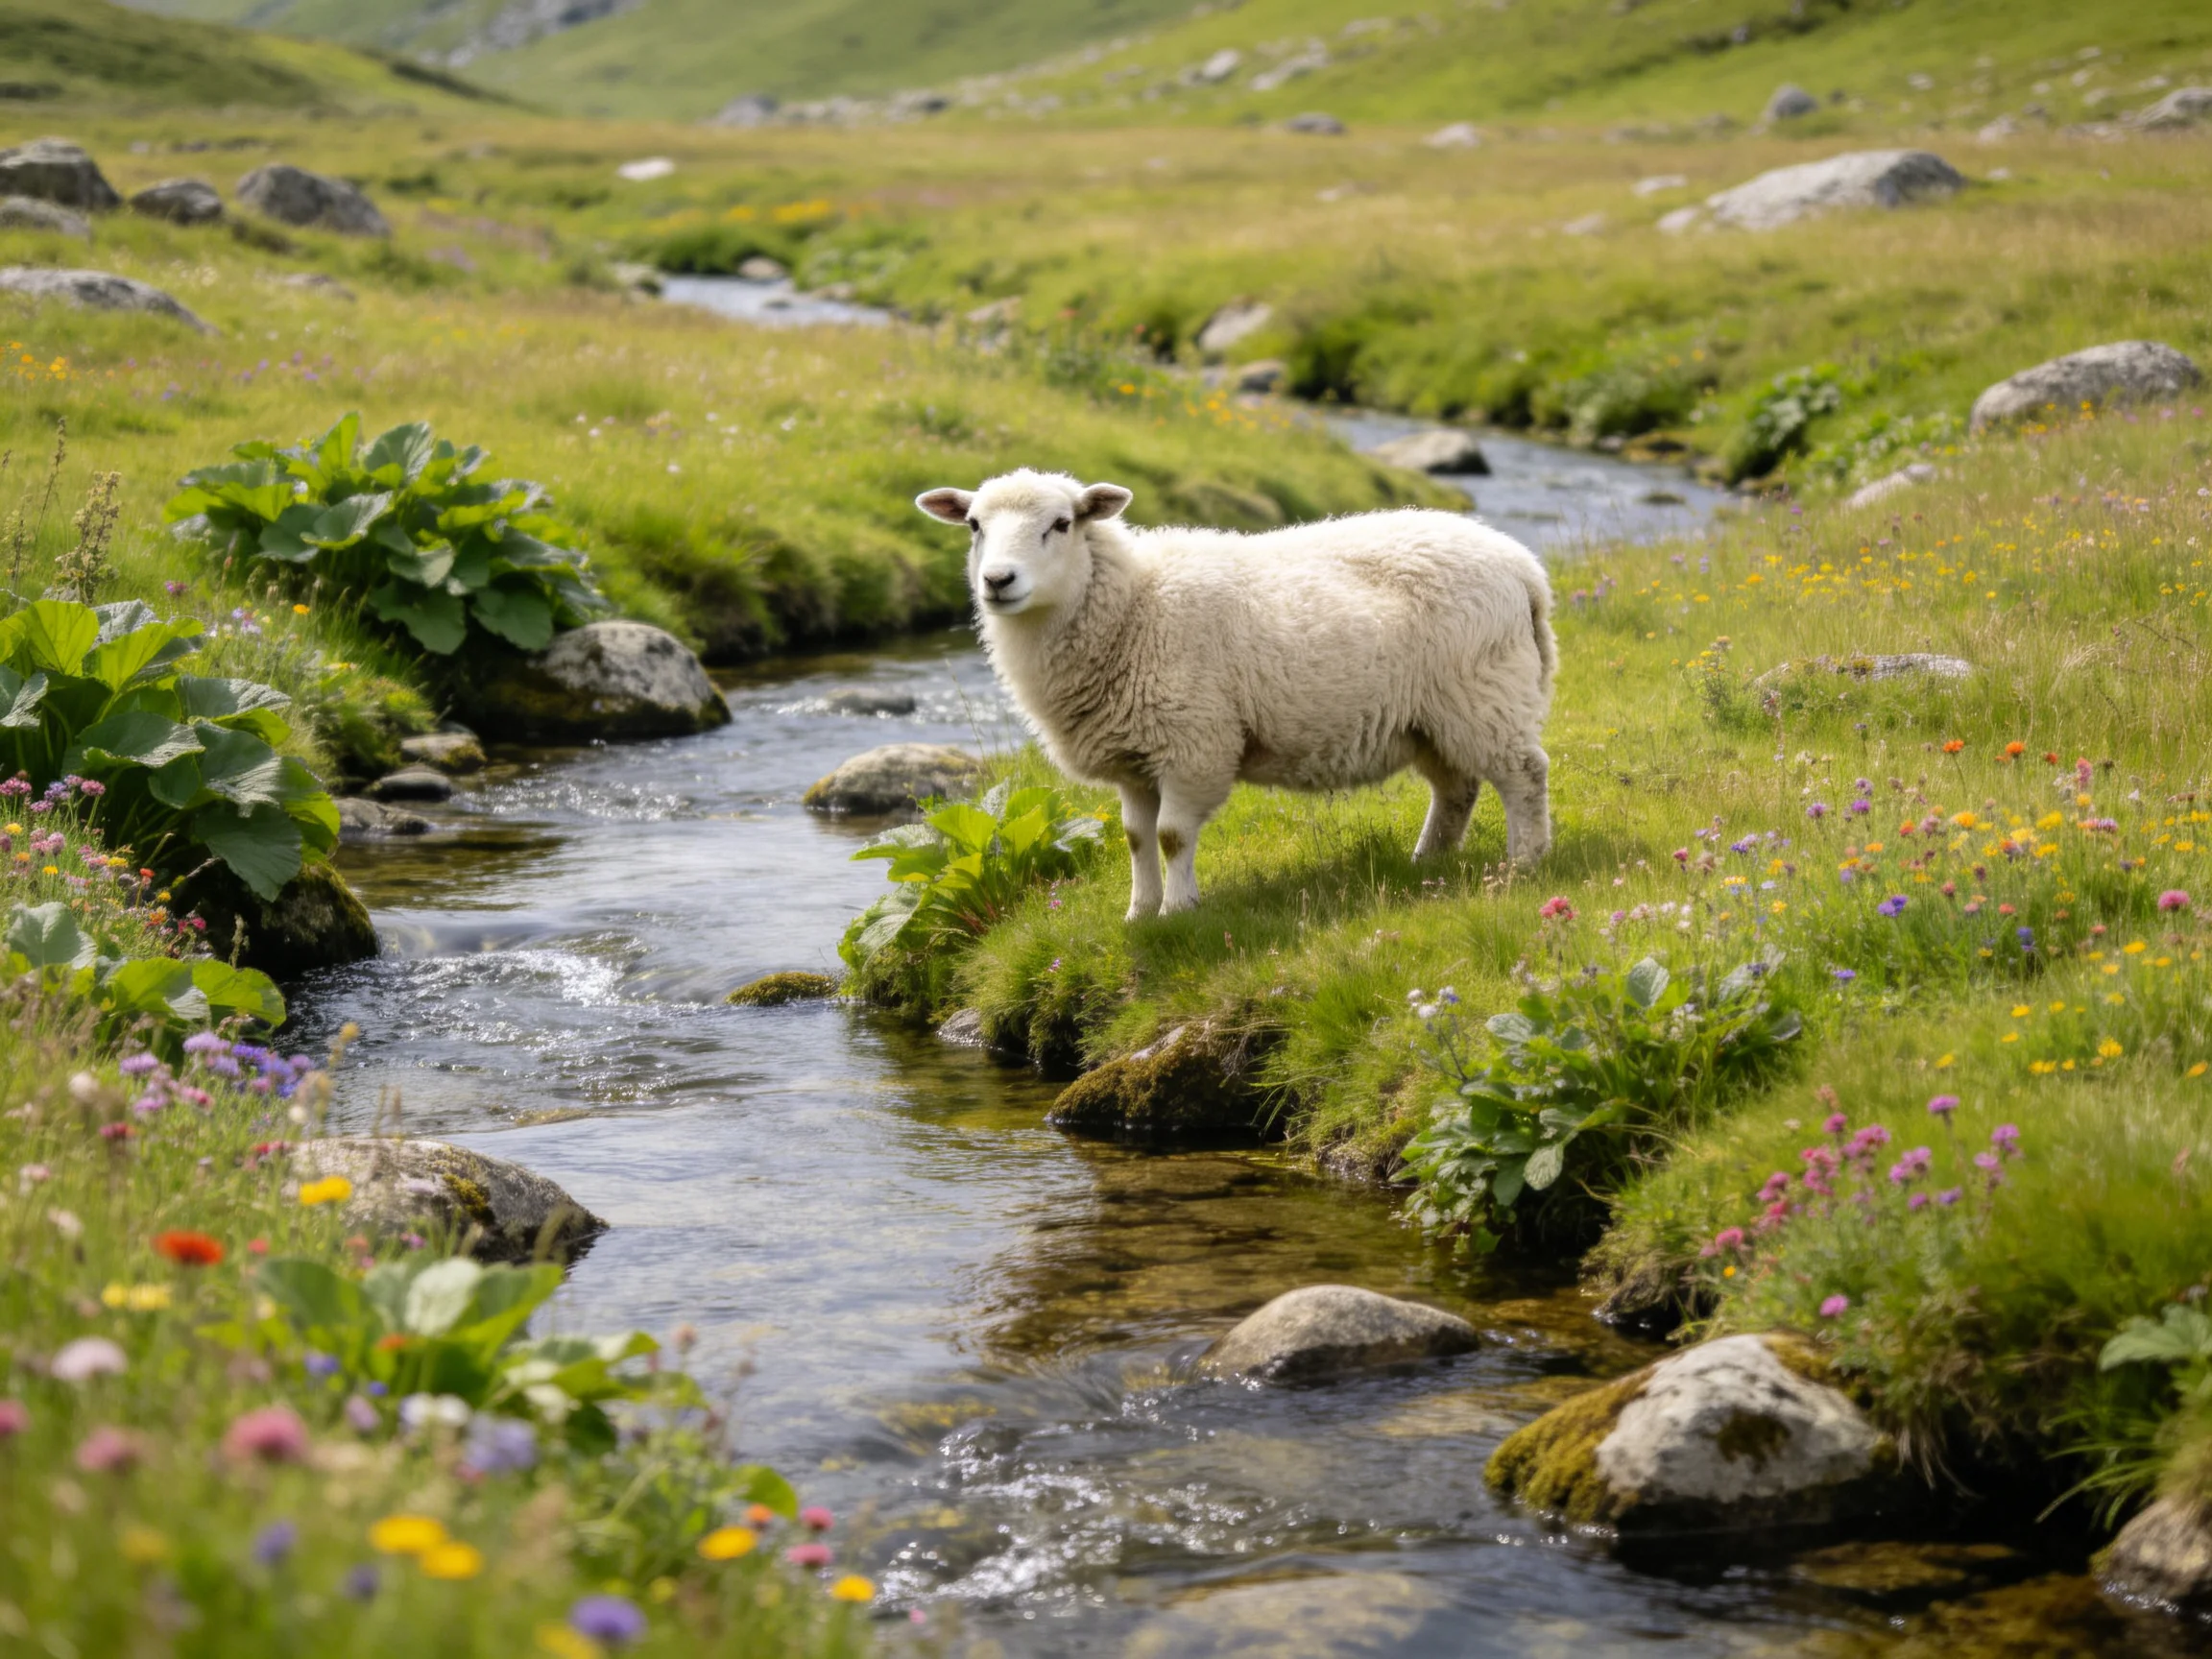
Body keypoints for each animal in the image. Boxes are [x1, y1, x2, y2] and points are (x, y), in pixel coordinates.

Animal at [916, 469, 1555, 919]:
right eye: (974, 525)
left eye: (1062, 524)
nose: (998, 581)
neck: (1131, 608)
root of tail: (1523, 567)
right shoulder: (1133, 758)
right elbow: (1135, 838)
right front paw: (1138, 913)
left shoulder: (1193, 743)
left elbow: (1172, 835)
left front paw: (1178, 911)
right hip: (1430, 717)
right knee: (1456, 789)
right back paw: (1427, 862)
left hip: (1483, 695)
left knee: (1524, 774)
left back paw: (1526, 863)